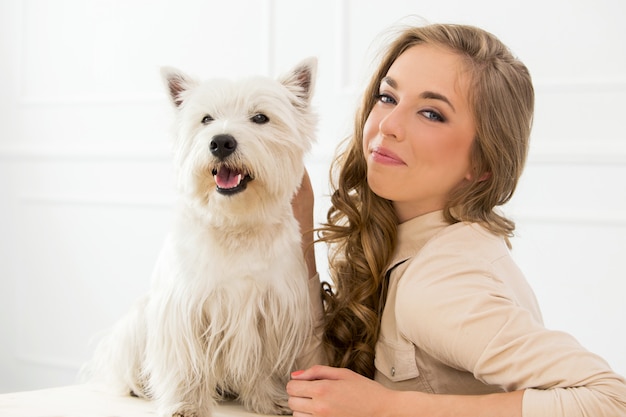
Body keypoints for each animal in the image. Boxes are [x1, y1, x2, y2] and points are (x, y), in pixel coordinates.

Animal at [84, 57, 314, 416]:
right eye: (206, 119)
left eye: (260, 118)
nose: (221, 142)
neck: (235, 225)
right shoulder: (183, 309)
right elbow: (186, 364)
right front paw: (185, 405)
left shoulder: (272, 310)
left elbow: (262, 364)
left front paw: (271, 400)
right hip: (136, 324)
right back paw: (141, 387)